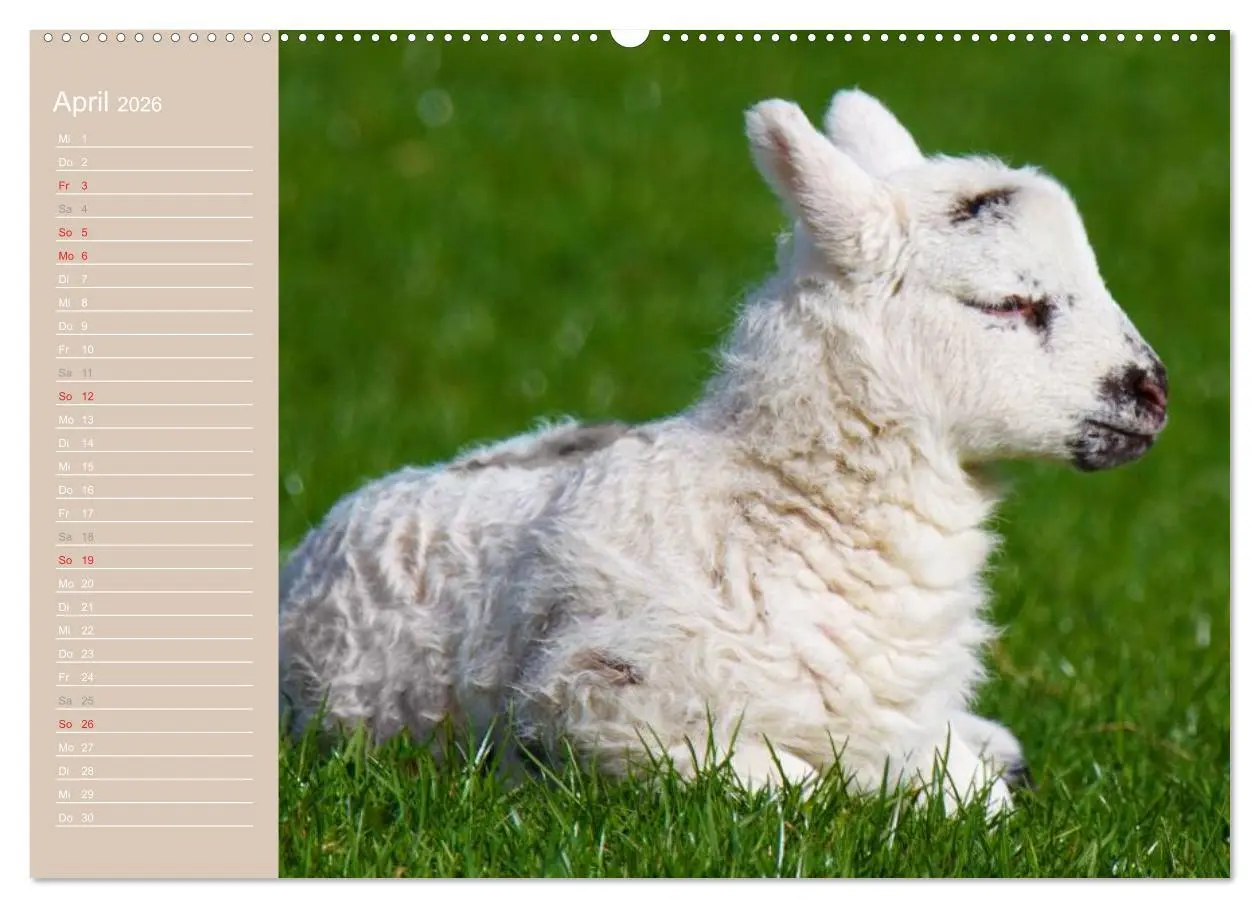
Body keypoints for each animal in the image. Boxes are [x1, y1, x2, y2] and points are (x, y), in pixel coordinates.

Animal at [278, 89, 1169, 816]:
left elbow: (965, 789)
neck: (781, 508)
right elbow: (794, 787)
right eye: (1009, 304)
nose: (1154, 392)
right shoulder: (602, 717)